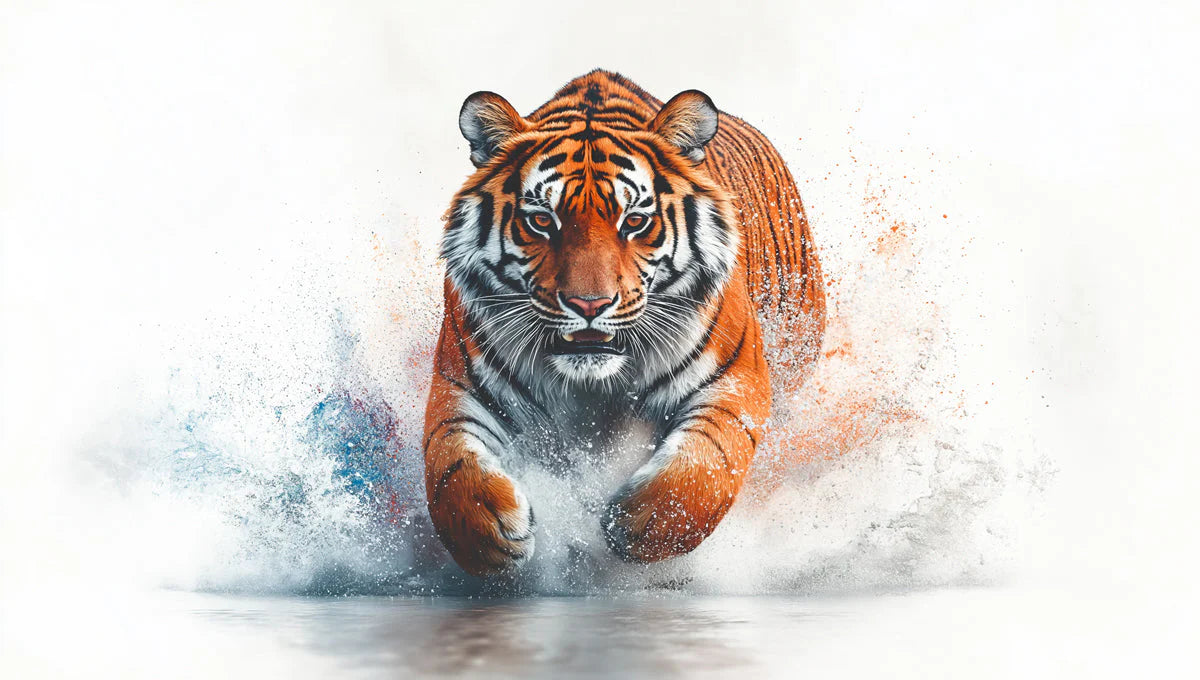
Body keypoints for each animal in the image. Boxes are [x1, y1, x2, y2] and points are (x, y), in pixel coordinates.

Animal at [423, 69, 825, 576]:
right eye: (541, 221)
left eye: (634, 221)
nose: (589, 304)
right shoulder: (462, 387)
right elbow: (448, 467)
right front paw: (490, 535)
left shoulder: (735, 378)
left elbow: (706, 466)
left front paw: (638, 523)